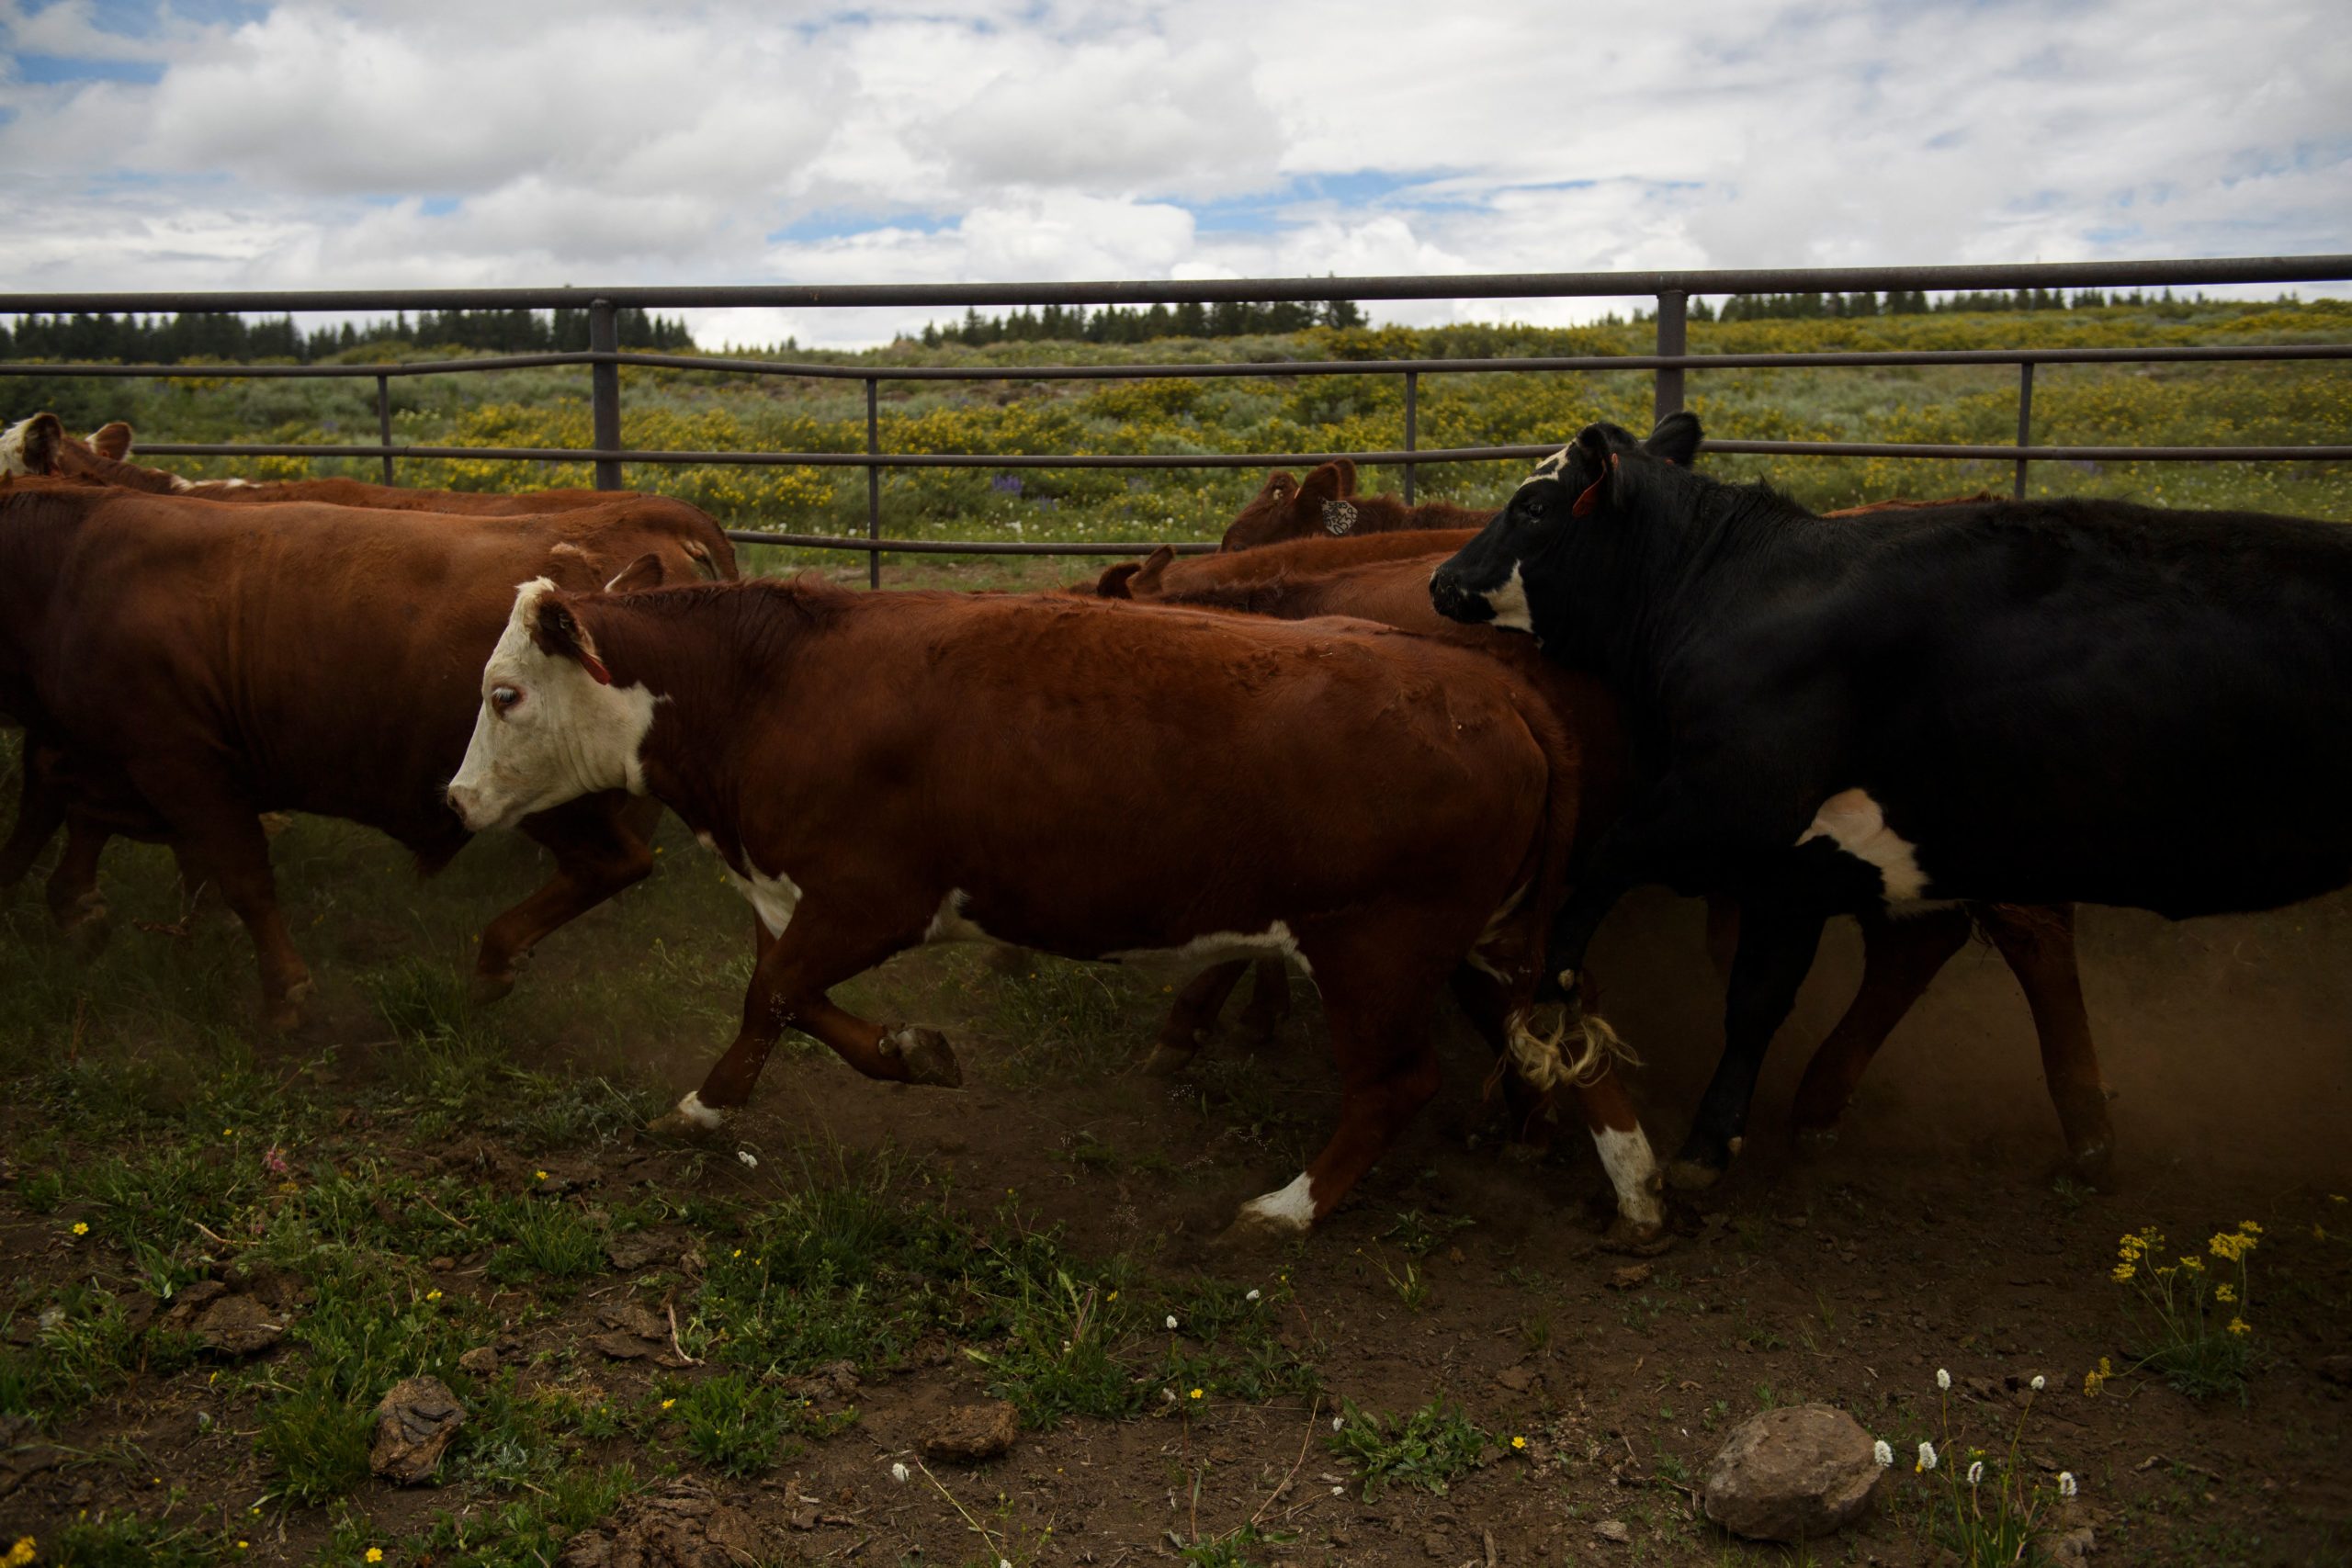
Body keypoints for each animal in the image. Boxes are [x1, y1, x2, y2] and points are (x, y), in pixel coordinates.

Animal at [0, 477, 738, 1029]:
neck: (65, 570)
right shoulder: (102, 760)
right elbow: (75, 816)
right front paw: (83, 911)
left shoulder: (181, 765)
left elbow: (242, 877)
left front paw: (284, 993)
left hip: (545, 797)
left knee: (614, 860)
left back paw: (494, 960)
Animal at [445, 575, 1672, 1245]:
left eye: (504, 695)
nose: (456, 801)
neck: (776, 684)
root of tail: (1493, 690)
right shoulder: (790, 890)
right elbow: (773, 1001)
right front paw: (744, 1097)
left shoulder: (875, 895)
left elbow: (784, 994)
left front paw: (868, 1061)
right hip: (1482, 943)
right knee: (1574, 1045)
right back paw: (1637, 1195)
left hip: (1378, 948)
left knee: (1394, 1086)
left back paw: (1286, 1209)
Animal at [1429, 411, 2350, 1188]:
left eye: (1535, 505)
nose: (1443, 578)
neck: (1729, 588)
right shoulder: (1799, 859)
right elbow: (1759, 996)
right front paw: (1714, 1139)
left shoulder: (1735, 800)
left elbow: (1612, 866)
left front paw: (1553, 986)